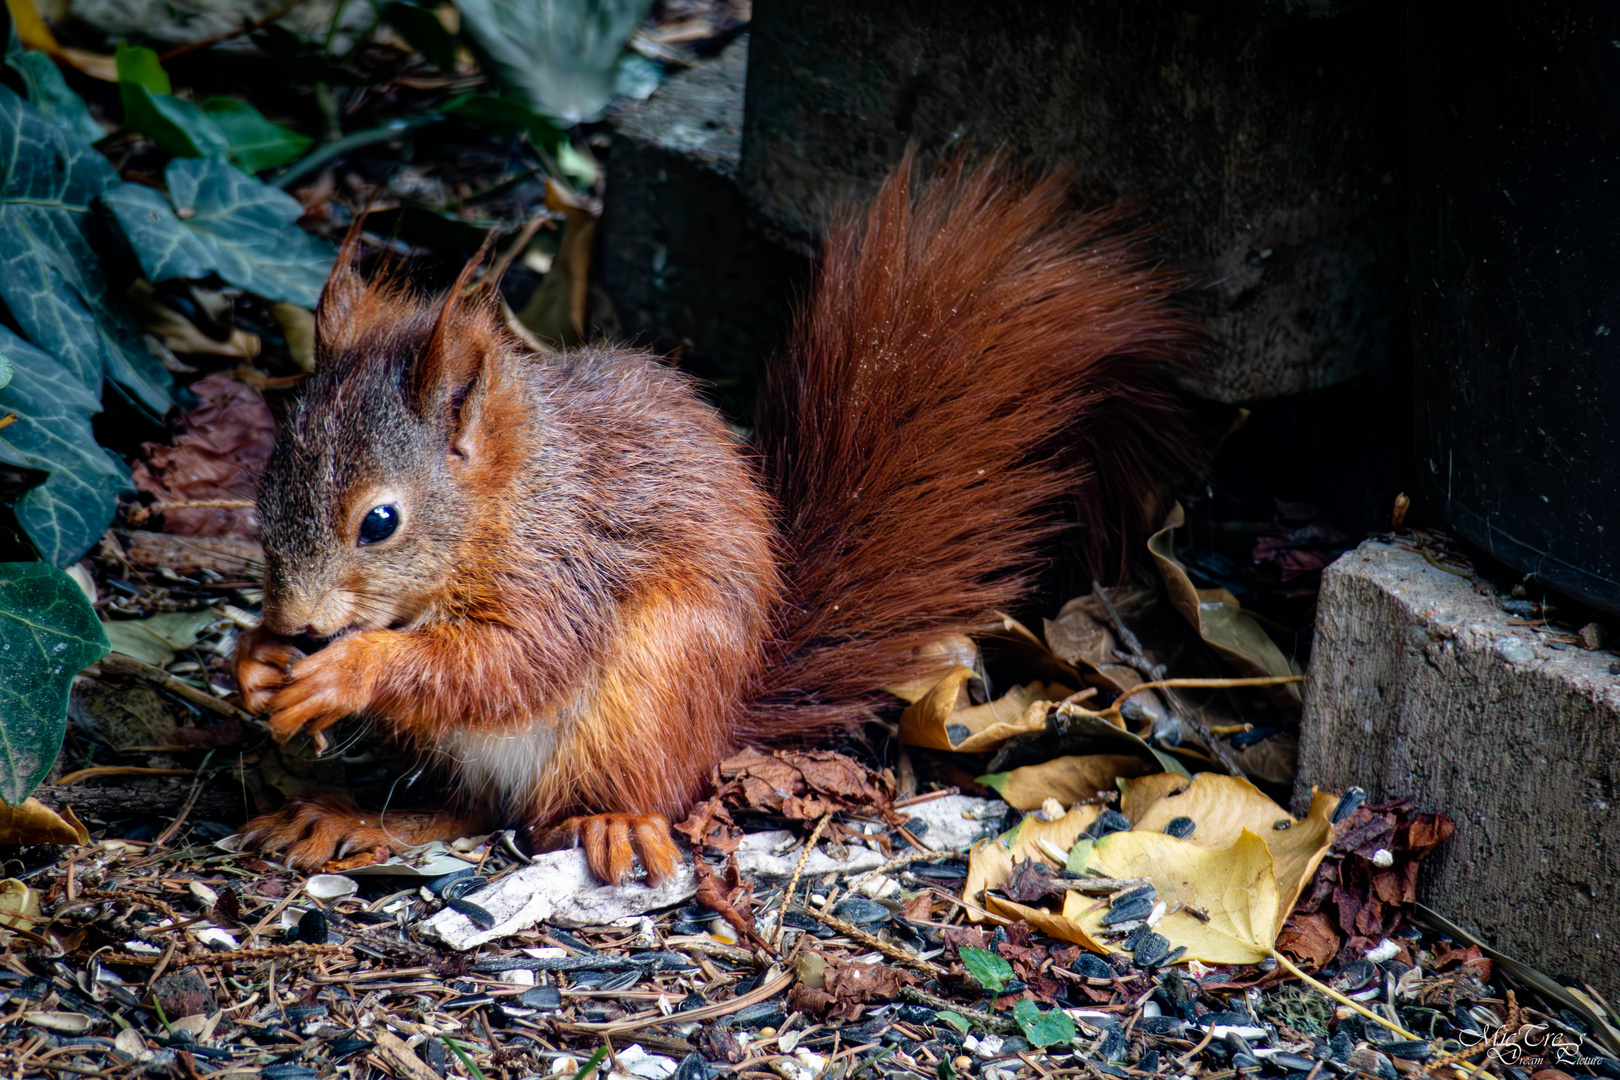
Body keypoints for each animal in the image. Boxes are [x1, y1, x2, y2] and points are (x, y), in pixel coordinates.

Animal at [234, 156, 1198, 880]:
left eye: (380, 522)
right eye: (266, 485)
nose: (297, 622)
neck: (510, 502)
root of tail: (725, 712)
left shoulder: (567, 569)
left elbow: (508, 661)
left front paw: (345, 670)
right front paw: (256, 662)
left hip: (652, 689)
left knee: (561, 809)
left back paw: (609, 824)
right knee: (466, 808)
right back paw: (346, 819)